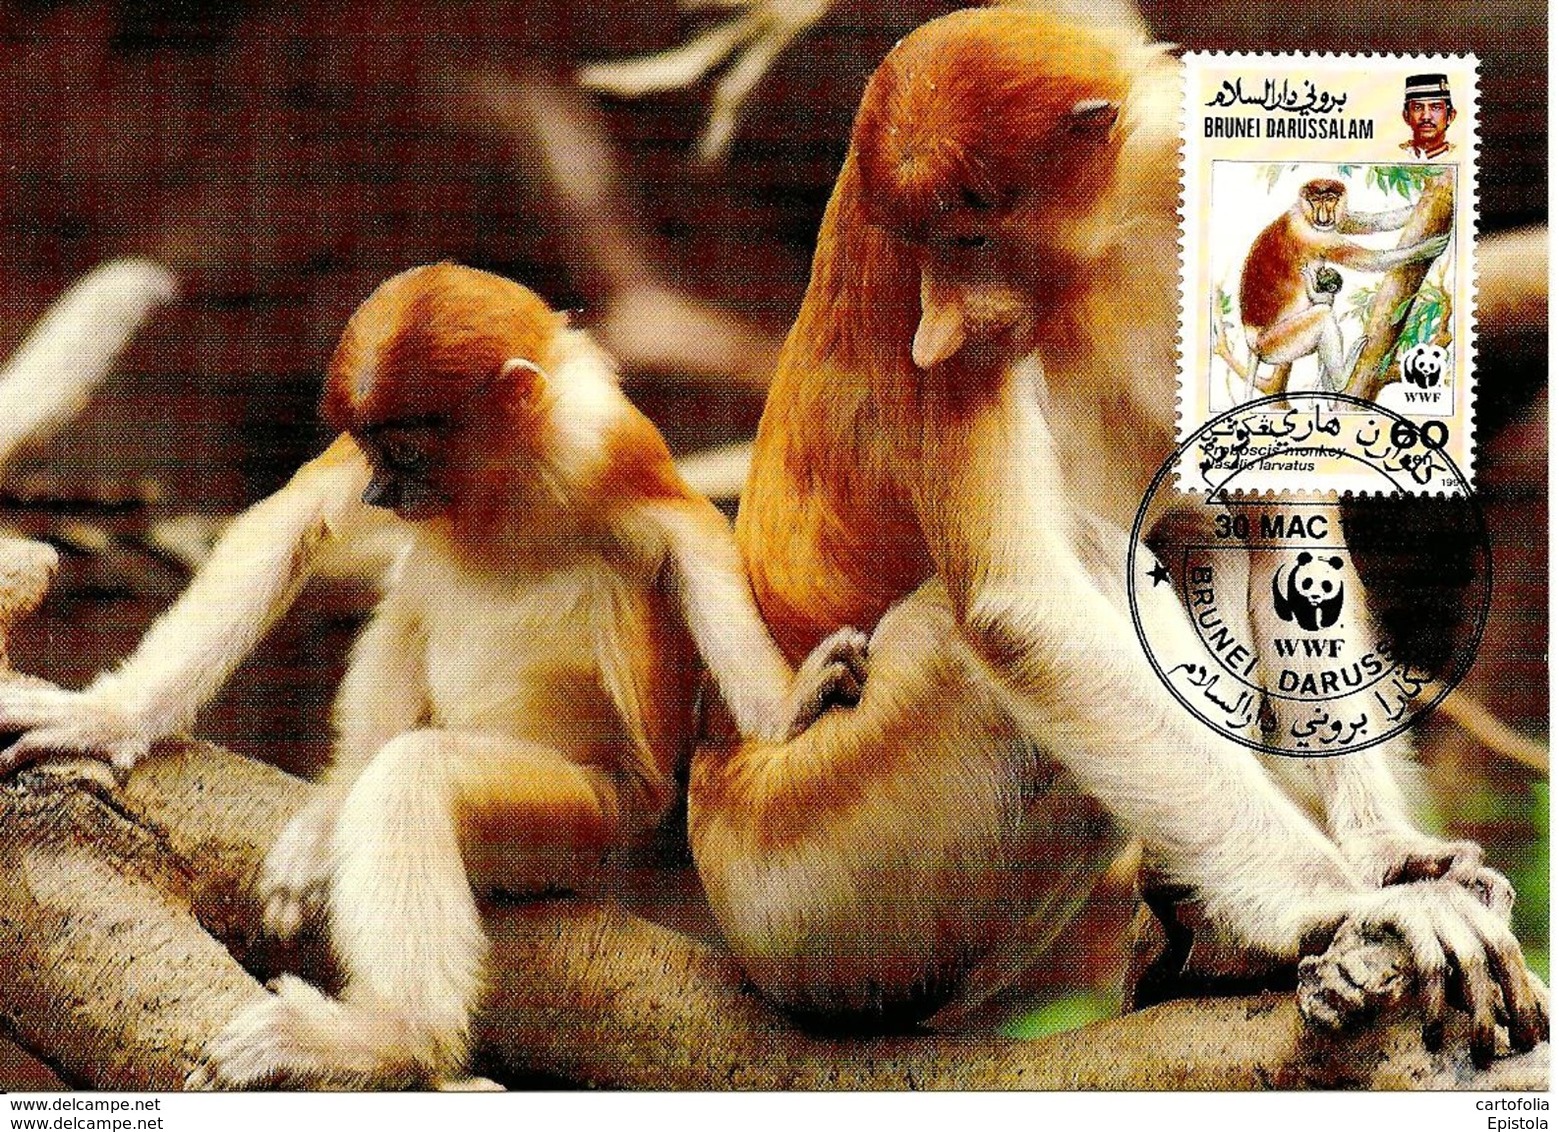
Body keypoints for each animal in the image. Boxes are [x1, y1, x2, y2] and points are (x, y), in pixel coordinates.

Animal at [0, 263, 867, 1088]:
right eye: (371, 447)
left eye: (406, 449)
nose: (381, 489)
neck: (502, 481)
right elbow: (298, 516)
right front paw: (109, 716)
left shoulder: (605, 442)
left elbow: (689, 541)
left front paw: (790, 709)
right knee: (416, 594)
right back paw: (338, 813)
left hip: (582, 821)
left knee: (421, 770)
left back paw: (392, 1040)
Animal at [1240, 178, 1450, 391]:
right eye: (1315, 200)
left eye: (1330, 199)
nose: (1323, 218)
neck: (1304, 217)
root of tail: (1252, 343)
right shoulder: (1314, 236)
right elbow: (1368, 260)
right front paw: (1423, 249)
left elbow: (1358, 222)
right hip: (1276, 344)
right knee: (1323, 317)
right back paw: (1341, 380)